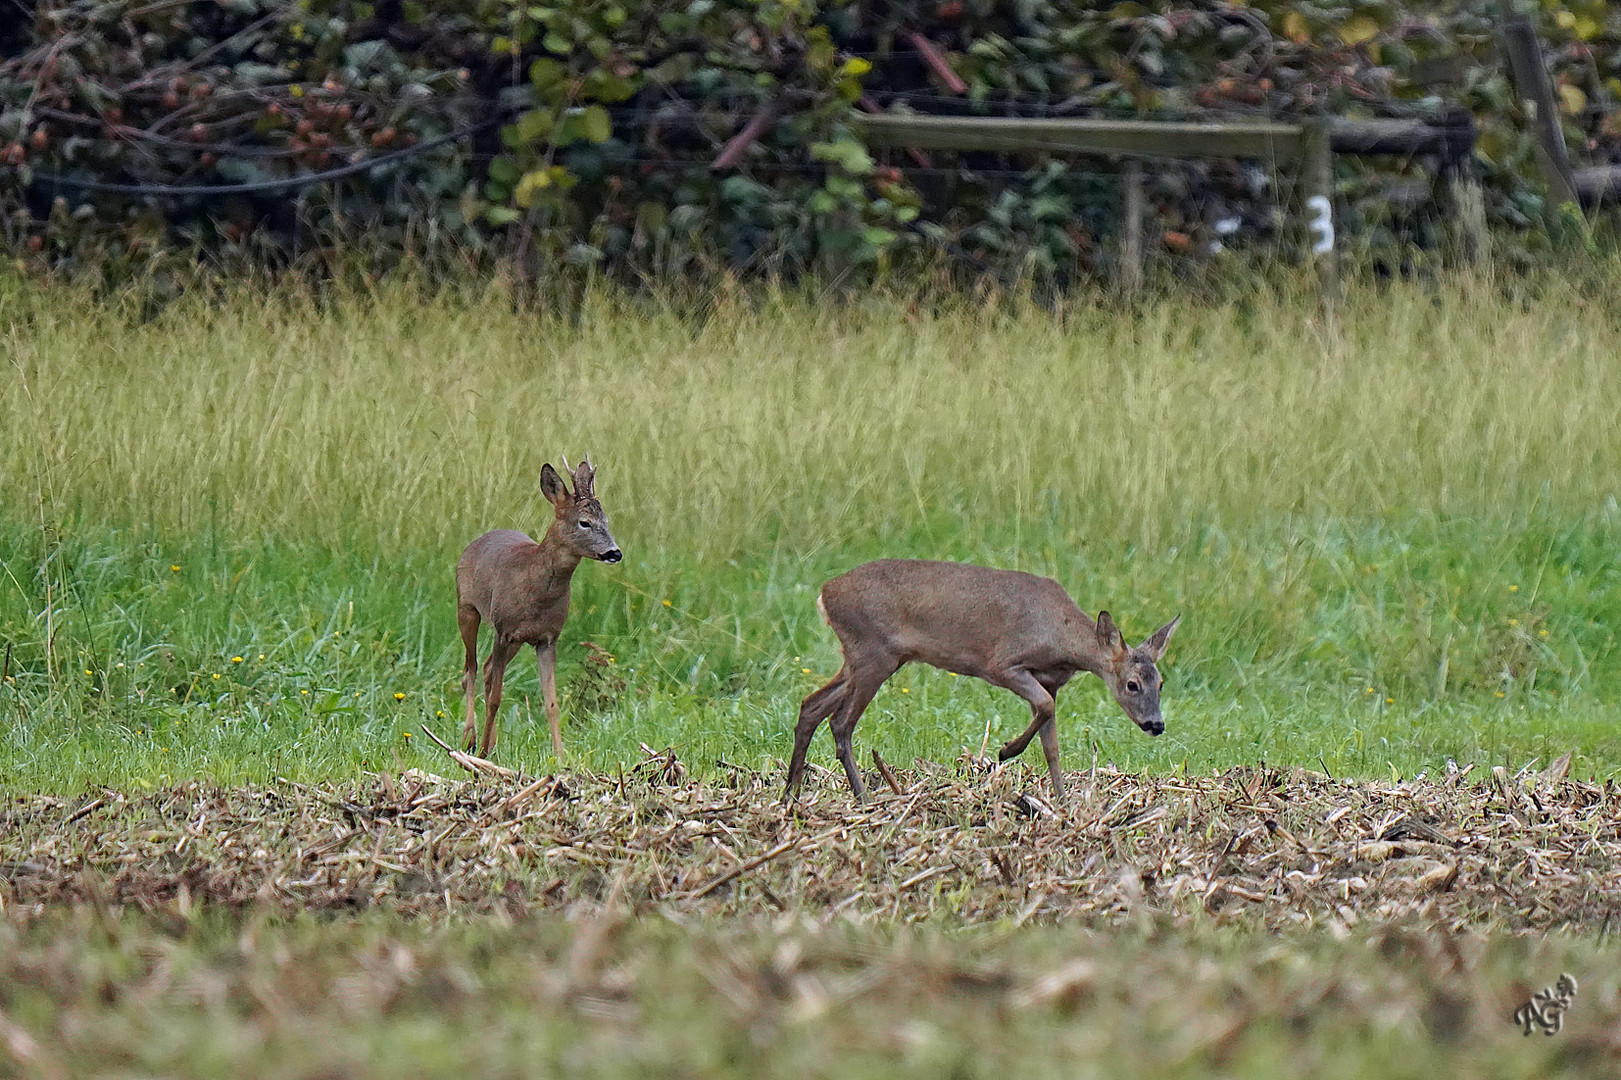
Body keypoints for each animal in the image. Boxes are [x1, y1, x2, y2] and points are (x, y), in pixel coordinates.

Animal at [457, 454, 619, 755]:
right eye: (584, 522)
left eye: (606, 520)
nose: (615, 552)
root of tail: (475, 542)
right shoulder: (503, 630)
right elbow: (496, 698)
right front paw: (481, 750)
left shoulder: (547, 637)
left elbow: (551, 702)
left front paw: (560, 755)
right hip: (467, 607)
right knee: (470, 670)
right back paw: (470, 738)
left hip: (517, 639)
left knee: (486, 670)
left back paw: (491, 742)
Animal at [778, 564, 1173, 797]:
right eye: (1132, 684)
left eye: (1161, 683)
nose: (1156, 724)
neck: (1060, 637)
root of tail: (825, 593)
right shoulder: (1003, 663)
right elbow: (1043, 709)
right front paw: (1004, 751)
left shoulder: (1050, 682)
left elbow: (1051, 742)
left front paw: (1061, 801)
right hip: (874, 653)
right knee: (840, 721)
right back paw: (862, 796)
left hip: (863, 659)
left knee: (811, 705)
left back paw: (792, 794)